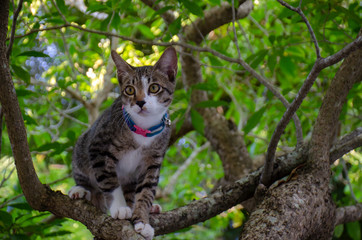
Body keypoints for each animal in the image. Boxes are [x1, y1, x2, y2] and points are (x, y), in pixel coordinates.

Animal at [68, 47, 177, 240]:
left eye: (154, 87)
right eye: (129, 90)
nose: (140, 102)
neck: (143, 129)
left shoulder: (153, 160)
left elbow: (146, 191)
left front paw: (142, 220)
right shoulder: (98, 146)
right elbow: (109, 181)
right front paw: (119, 207)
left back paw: (149, 208)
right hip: (82, 146)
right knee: (85, 177)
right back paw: (81, 191)